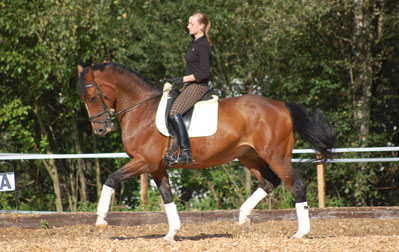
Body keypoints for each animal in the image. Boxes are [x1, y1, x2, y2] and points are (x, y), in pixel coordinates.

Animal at [76, 62, 336, 241]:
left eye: (92, 96)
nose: (100, 129)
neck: (141, 110)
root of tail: (282, 105)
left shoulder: (144, 161)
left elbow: (111, 179)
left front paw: (100, 221)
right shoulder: (157, 167)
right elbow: (167, 197)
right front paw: (171, 233)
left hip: (276, 156)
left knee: (296, 186)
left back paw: (300, 233)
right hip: (248, 156)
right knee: (270, 182)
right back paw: (243, 219)